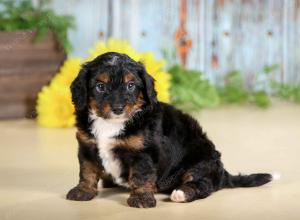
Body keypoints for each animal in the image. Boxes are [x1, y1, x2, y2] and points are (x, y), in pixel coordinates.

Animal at [67, 51, 276, 208]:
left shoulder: (143, 153)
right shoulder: (86, 146)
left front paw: (141, 199)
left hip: (200, 162)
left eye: (130, 85)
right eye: (100, 86)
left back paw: (181, 193)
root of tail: (223, 173)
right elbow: (87, 171)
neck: (111, 124)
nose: (118, 108)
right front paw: (83, 191)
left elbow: (141, 176)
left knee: (203, 185)